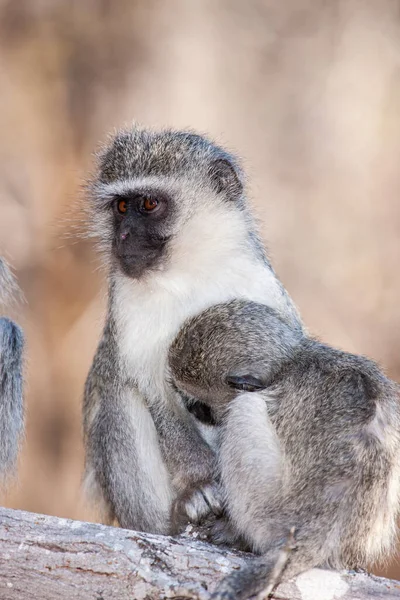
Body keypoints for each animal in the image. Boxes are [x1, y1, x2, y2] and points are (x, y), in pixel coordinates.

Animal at [84, 126, 304, 536]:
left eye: (149, 204)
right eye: (121, 207)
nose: (122, 237)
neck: (189, 269)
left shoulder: (259, 282)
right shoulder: (126, 304)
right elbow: (152, 389)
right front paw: (199, 485)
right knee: (117, 392)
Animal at [168, 300, 400, 600]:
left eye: (201, 407)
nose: (190, 410)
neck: (289, 362)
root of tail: (321, 532)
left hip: (268, 513)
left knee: (245, 407)